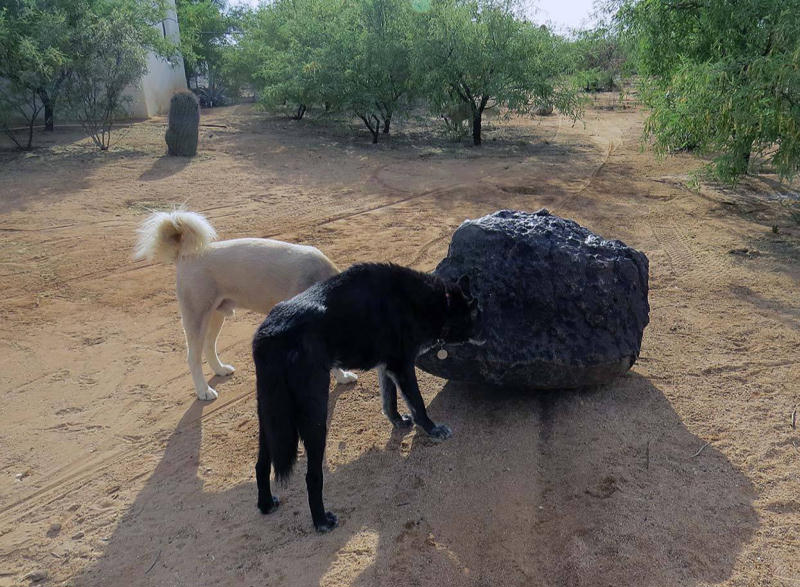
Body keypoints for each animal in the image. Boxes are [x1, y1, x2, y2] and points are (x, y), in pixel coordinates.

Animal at [134, 210, 357, 400]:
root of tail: (184, 255)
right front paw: (341, 377)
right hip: (196, 318)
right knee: (193, 358)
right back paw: (204, 391)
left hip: (216, 316)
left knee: (209, 346)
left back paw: (220, 369)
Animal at [252, 262, 478, 532]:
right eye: (476, 314)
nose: (485, 334)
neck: (431, 300)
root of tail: (271, 335)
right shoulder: (402, 366)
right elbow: (418, 403)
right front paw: (432, 429)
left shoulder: (387, 366)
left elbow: (389, 400)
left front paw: (398, 422)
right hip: (314, 415)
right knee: (312, 476)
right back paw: (321, 521)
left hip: (271, 416)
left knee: (261, 464)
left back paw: (266, 504)